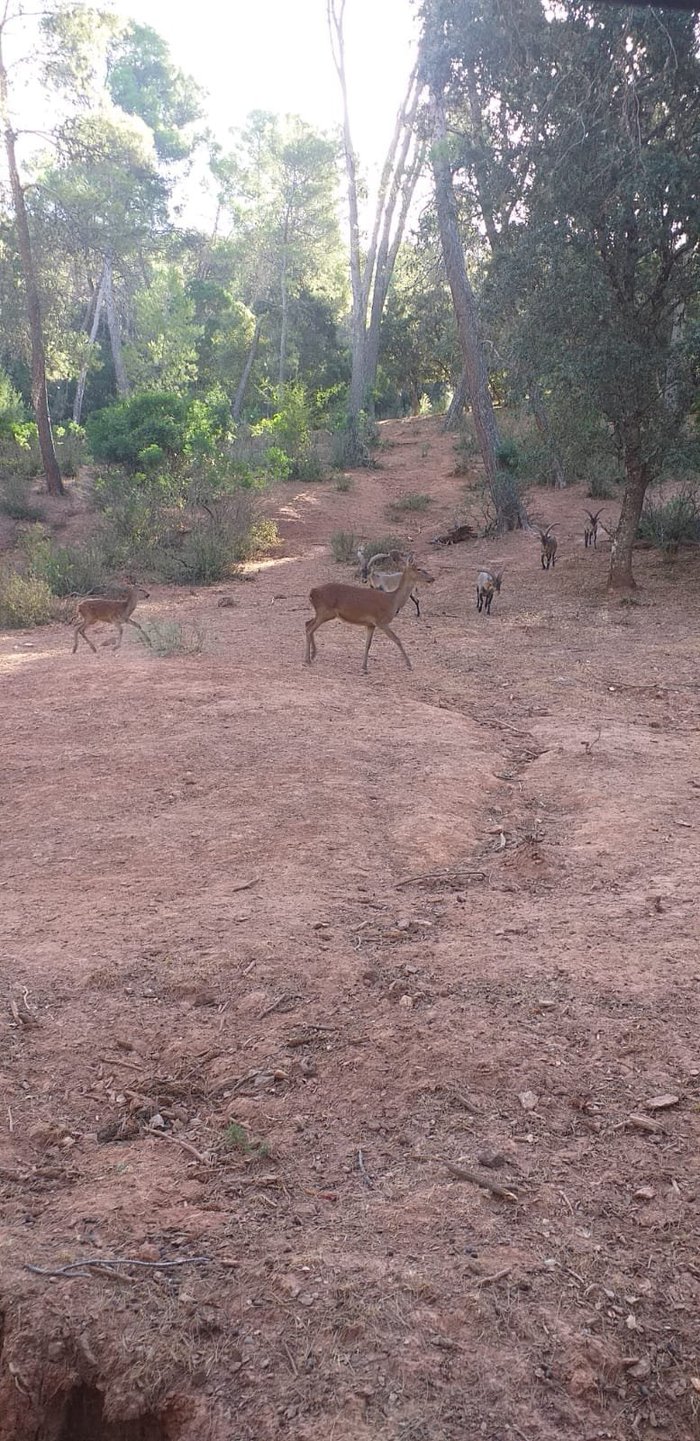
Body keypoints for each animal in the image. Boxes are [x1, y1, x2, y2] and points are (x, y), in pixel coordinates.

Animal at [305, 559, 434, 677]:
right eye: (419, 568)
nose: (432, 578)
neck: (393, 601)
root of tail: (312, 592)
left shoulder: (371, 624)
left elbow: (368, 644)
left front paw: (364, 667)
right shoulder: (382, 621)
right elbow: (397, 639)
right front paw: (409, 665)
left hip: (321, 613)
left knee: (307, 623)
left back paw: (312, 655)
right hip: (325, 612)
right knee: (310, 629)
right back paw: (308, 659)